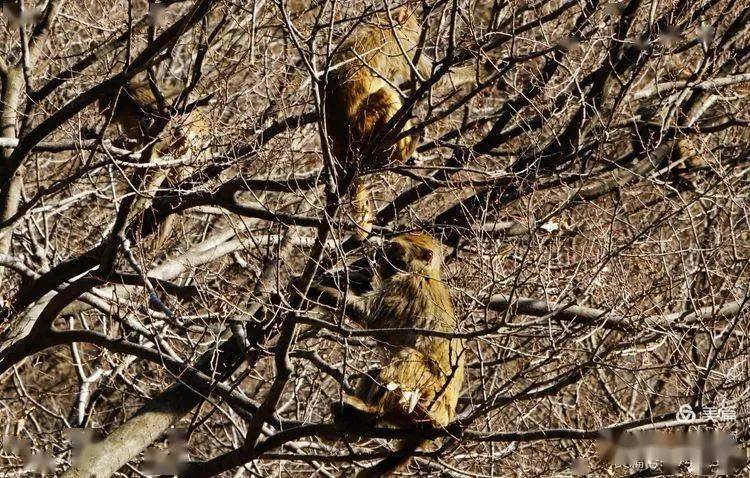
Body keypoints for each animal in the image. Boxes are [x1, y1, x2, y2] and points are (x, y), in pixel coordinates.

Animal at [306, 232, 464, 474]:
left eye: (394, 248)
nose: (381, 253)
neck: (425, 273)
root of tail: (443, 419)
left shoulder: (404, 284)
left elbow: (368, 314)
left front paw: (312, 287)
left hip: (427, 400)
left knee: (407, 357)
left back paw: (369, 410)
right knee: (377, 370)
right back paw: (358, 419)